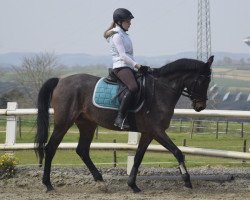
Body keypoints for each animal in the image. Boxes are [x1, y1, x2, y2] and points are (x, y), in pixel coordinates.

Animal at [34, 55, 214, 193]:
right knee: (51, 148)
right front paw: (187, 181)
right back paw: (48, 185)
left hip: (87, 124)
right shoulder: (157, 130)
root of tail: (60, 80)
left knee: (82, 150)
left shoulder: (148, 133)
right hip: (63, 123)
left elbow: (139, 157)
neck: (161, 91)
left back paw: (101, 182)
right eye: (202, 81)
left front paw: (133, 185)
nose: (200, 106)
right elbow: (177, 152)